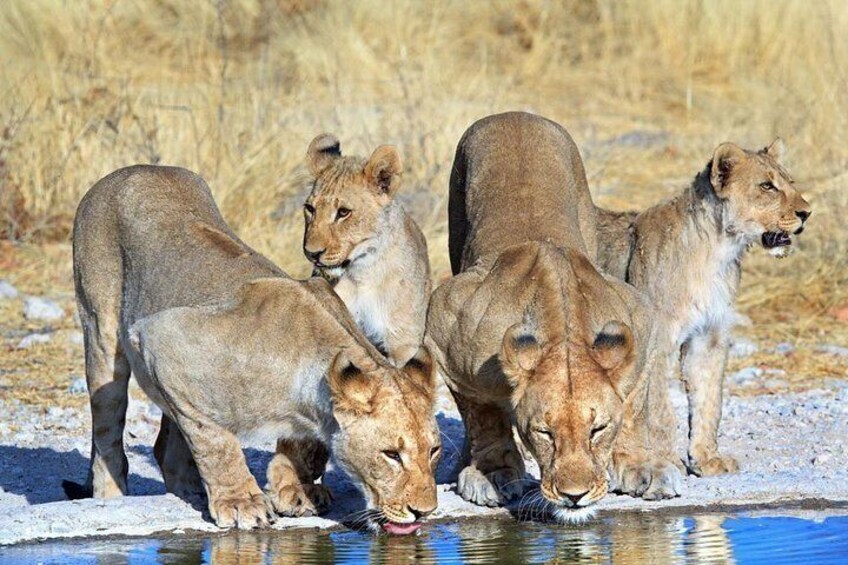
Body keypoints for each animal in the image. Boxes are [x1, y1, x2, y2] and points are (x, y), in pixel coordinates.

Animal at [66, 164, 440, 532]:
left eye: (434, 450)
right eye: (391, 454)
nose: (423, 512)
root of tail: (129, 170)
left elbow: (304, 442)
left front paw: (296, 489)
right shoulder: (160, 336)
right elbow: (214, 438)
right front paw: (240, 502)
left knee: (167, 447)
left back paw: (189, 490)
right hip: (101, 329)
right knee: (108, 430)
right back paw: (112, 494)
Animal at [424, 110, 684, 520]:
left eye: (597, 430)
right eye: (544, 433)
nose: (574, 496)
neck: (561, 330)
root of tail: (513, 113)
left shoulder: (638, 315)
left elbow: (633, 404)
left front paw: (642, 466)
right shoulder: (445, 324)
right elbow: (483, 414)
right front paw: (492, 473)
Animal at [592, 139, 812, 474]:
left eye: (791, 182)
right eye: (767, 186)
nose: (807, 213)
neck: (718, 251)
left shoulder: (709, 336)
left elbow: (709, 400)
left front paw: (707, 459)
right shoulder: (658, 341)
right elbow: (657, 406)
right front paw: (663, 460)